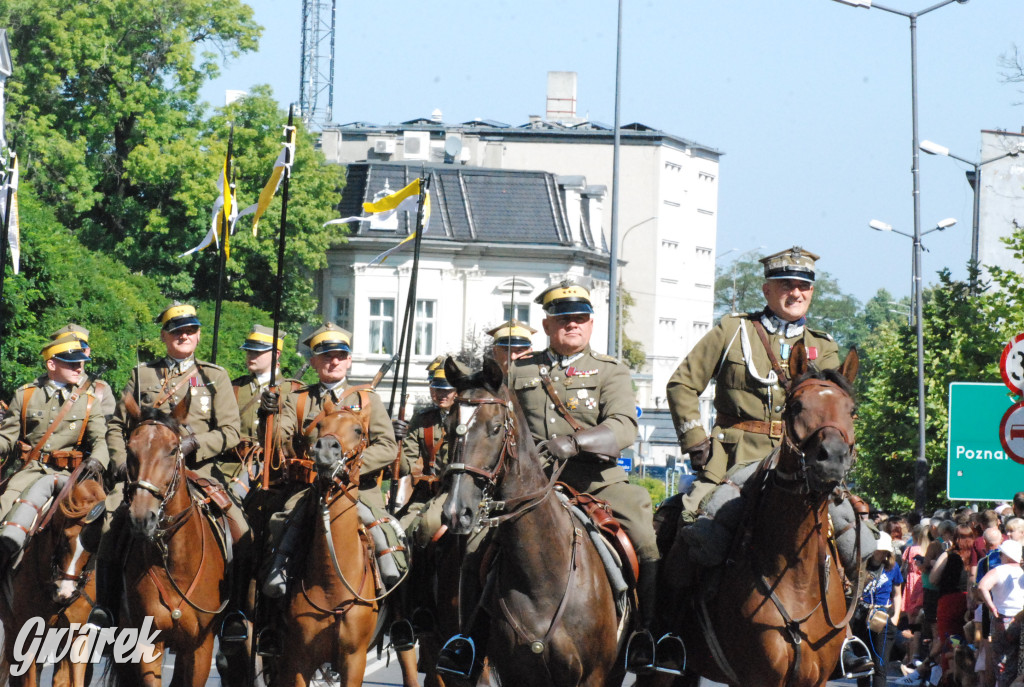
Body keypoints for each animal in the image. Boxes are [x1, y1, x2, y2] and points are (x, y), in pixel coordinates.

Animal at [114, 397, 230, 687]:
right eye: (130, 449)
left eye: (172, 450)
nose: (142, 517)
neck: (173, 559)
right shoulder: (145, 644)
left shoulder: (200, 647)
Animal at [272, 401, 380, 683]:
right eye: (319, 424)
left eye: (358, 430)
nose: (325, 449)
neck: (332, 585)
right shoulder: (298, 659)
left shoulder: (355, 660)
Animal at [440, 358, 622, 687]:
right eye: (447, 428)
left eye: (495, 428)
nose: (456, 511)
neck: (543, 577)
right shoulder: (515, 673)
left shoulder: (593, 676)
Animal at [643, 341, 860, 687]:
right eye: (796, 406)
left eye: (851, 410)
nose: (832, 460)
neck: (796, 576)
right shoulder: (758, 678)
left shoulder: (816, 680)